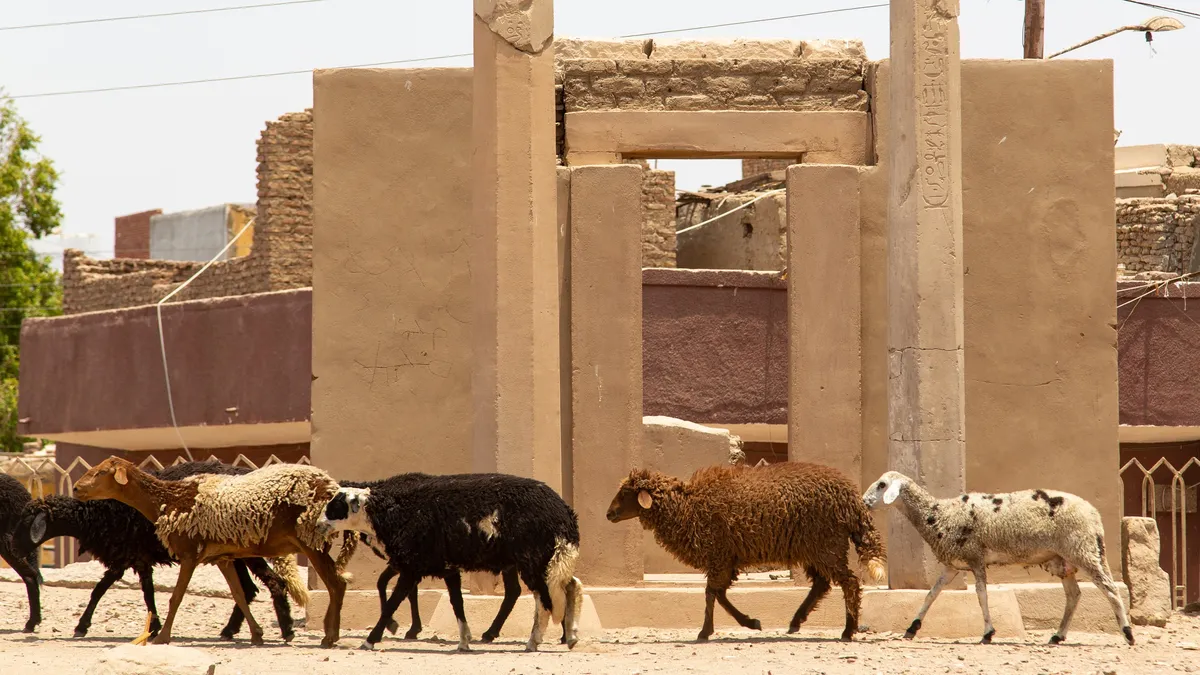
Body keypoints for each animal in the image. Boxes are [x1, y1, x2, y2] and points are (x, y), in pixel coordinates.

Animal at [10, 459, 304, 642]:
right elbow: (117, 590)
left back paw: (285, 628)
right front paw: (152, 626)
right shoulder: (131, 557)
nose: (12, 547)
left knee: (271, 583)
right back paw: (232, 630)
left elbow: (121, 592)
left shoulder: (132, 556)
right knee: (249, 589)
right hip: (234, 553)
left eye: (28, 521)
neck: (97, 513)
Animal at [72, 457, 357, 648]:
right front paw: (256, 635)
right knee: (336, 585)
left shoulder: (189, 554)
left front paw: (162, 636)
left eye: (101, 472)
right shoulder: (222, 558)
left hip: (311, 540)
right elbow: (239, 595)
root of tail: (332, 486)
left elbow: (176, 597)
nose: (75, 488)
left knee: (336, 585)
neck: (169, 500)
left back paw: (329, 637)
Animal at [315, 471, 584, 653]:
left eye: (336, 506)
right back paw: (570, 637)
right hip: (548, 557)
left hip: (533, 559)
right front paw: (464, 641)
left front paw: (371, 639)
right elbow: (457, 603)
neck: (390, 512)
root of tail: (563, 513)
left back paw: (533, 641)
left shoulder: (411, 567)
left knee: (544, 599)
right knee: (570, 587)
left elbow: (393, 602)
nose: (318, 525)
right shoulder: (447, 568)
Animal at [606, 461, 888, 642]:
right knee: (822, 583)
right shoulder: (726, 558)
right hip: (813, 547)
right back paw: (796, 622)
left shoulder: (719, 554)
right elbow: (718, 594)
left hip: (828, 545)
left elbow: (711, 594)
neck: (688, 508)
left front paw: (705, 632)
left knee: (849, 583)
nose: (609, 514)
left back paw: (847, 631)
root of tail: (853, 501)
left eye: (626, 492)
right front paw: (748, 623)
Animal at [863, 471, 1134, 646]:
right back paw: (1057, 636)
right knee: (1074, 595)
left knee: (1110, 589)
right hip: (1064, 558)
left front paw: (988, 633)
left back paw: (1128, 633)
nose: (864, 501)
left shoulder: (975, 557)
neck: (938, 514)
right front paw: (912, 628)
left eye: (882, 485)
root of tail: (1094, 513)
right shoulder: (953, 564)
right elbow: (932, 594)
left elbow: (981, 595)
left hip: (1083, 550)